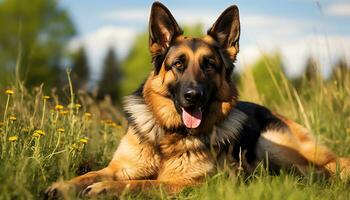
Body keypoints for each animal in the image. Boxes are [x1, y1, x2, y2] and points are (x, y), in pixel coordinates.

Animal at [45, 1, 348, 198]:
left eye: (209, 65)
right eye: (178, 64)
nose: (192, 96)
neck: (169, 135)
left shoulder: (187, 183)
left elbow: (143, 184)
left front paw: (107, 189)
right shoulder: (120, 167)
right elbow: (91, 173)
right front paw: (64, 185)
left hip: (270, 145)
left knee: (324, 169)